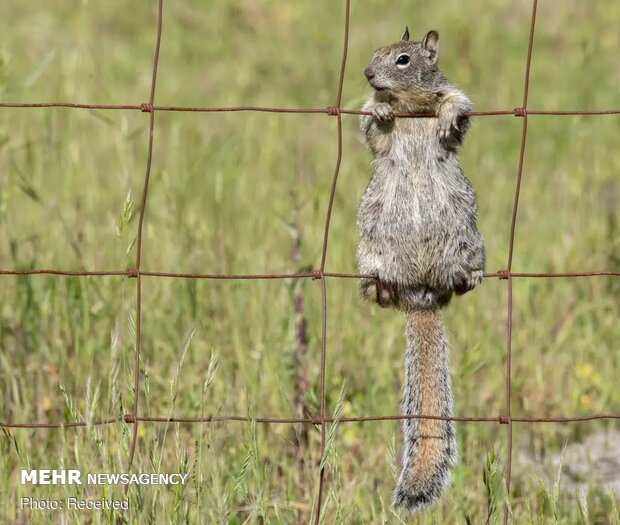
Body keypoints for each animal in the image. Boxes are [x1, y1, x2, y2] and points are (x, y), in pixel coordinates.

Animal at [356, 26, 486, 510]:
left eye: (404, 58)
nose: (367, 73)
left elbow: (457, 105)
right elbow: (372, 129)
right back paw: (377, 287)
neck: (410, 110)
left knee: (467, 272)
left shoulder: (453, 100)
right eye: (376, 52)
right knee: (379, 288)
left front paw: (447, 114)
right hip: (371, 244)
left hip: (469, 236)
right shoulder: (380, 135)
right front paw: (378, 106)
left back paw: (471, 277)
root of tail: (422, 294)